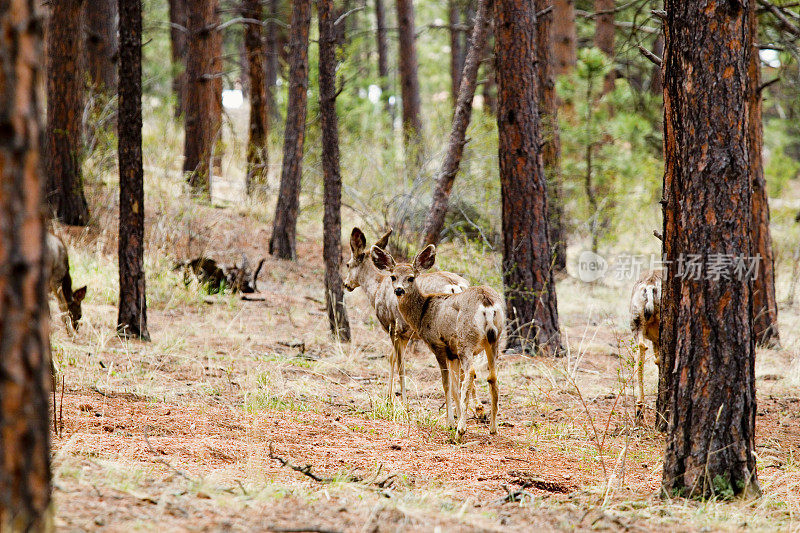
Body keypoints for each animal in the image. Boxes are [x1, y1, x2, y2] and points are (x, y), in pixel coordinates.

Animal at [340, 227, 478, 414]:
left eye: (348, 264)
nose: (346, 284)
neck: (375, 289)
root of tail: (455, 286)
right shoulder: (405, 335)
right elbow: (392, 358)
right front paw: (389, 399)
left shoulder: (394, 328)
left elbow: (400, 364)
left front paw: (401, 403)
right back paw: (478, 410)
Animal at [370, 242, 506, 440]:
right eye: (393, 276)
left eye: (411, 278)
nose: (399, 290)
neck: (423, 312)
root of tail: (487, 303)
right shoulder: (453, 353)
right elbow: (455, 388)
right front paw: (456, 417)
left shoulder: (438, 346)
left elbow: (447, 384)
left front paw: (450, 422)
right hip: (493, 341)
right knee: (492, 377)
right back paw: (493, 428)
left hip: (466, 341)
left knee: (471, 374)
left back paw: (460, 431)